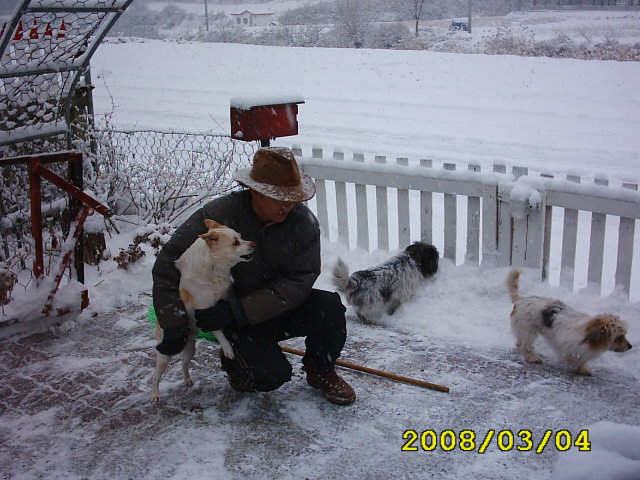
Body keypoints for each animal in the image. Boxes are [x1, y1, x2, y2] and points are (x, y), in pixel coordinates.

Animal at [152, 220, 255, 402]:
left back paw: (187, 380)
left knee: (183, 363)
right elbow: (219, 332)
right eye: (235, 243)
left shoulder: (228, 295)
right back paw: (155, 393)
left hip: (190, 349)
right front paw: (227, 348)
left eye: (241, 237)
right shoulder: (205, 310)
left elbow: (231, 308)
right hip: (165, 354)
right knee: (156, 375)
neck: (214, 268)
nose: (253, 244)